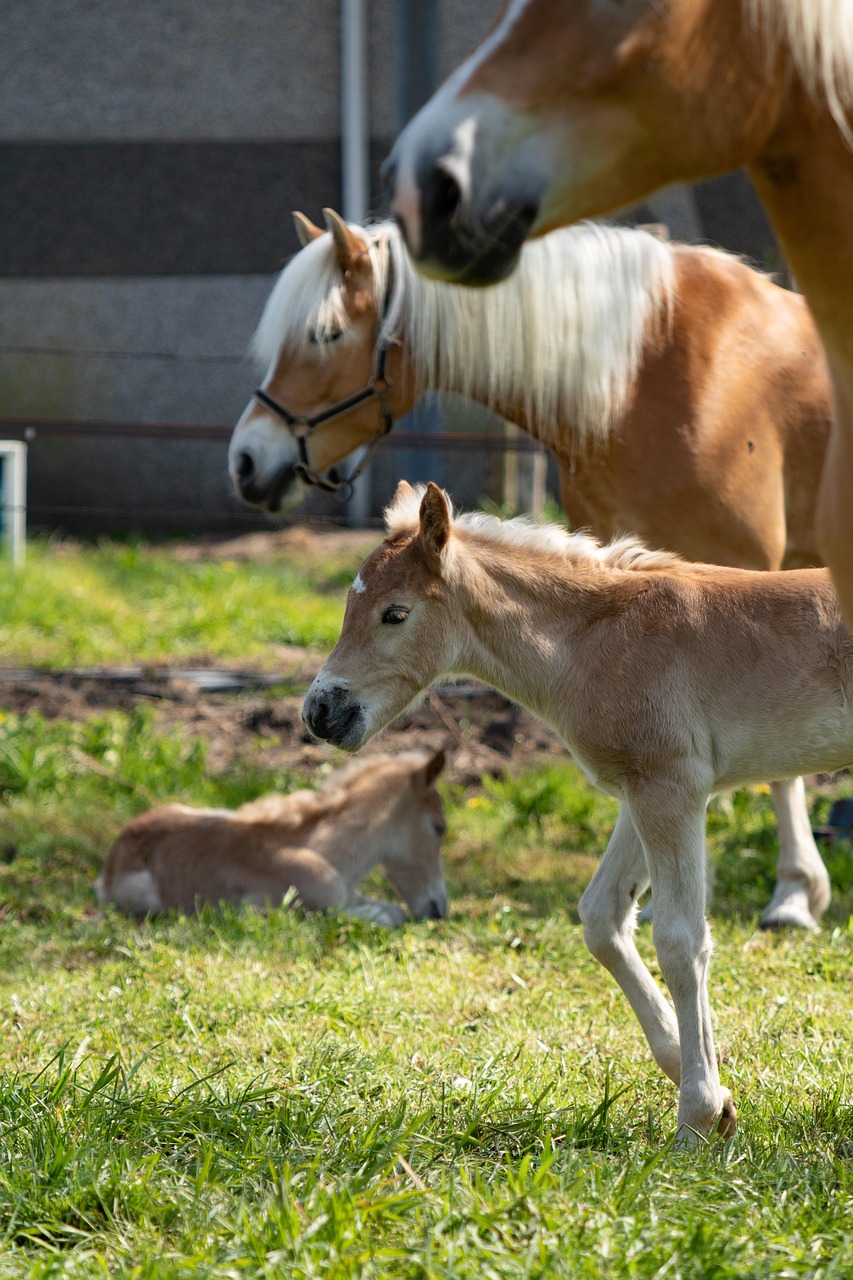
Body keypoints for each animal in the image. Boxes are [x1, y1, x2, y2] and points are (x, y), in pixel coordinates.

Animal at [95, 750, 448, 927]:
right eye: (440, 827)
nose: (440, 909)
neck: (325, 852)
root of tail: (110, 863)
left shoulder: (351, 895)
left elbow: (392, 910)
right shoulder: (298, 905)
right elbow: (388, 917)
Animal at [229, 208, 833, 933]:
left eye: (325, 333)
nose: (247, 462)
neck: (643, 374)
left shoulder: (743, 570)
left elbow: (773, 765)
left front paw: (794, 893)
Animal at [302, 481, 853, 1142]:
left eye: (395, 613)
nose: (320, 712)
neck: (596, 639)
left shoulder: (671, 788)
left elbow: (680, 939)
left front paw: (695, 1116)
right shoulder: (640, 792)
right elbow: (602, 917)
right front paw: (712, 1091)